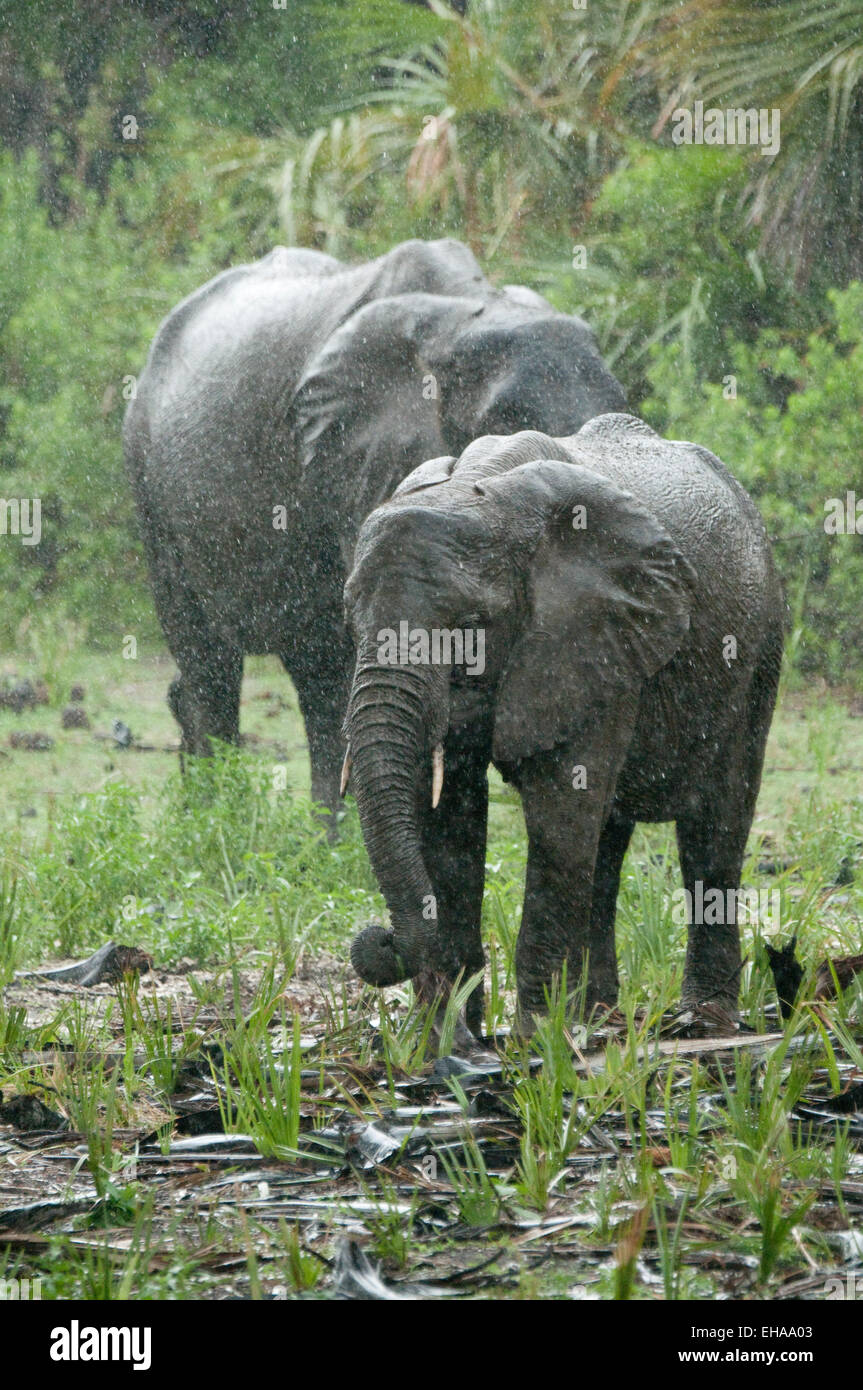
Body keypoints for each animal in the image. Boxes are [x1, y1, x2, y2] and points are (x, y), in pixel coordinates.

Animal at [124, 234, 622, 811]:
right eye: (505, 422)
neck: (465, 312)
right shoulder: (356, 462)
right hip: (148, 486)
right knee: (211, 662)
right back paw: (217, 816)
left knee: (315, 679)